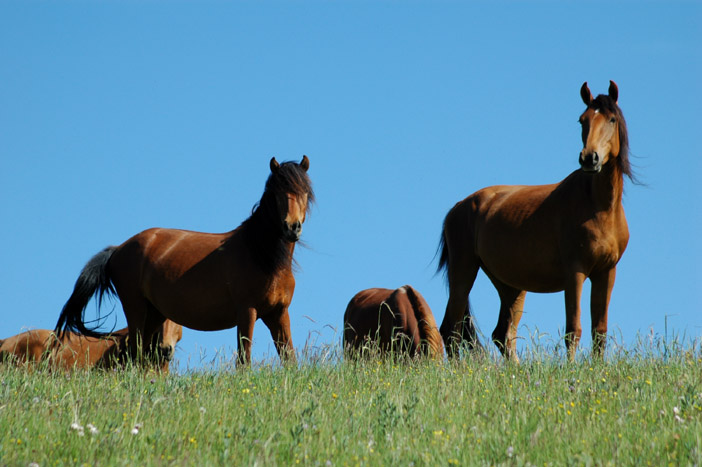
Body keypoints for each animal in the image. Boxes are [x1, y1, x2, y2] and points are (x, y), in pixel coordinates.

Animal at [56, 156, 314, 366]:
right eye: (278, 194)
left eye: (305, 192)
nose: (292, 227)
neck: (262, 256)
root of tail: (119, 249)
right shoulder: (247, 312)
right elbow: (244, 360)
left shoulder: (278, 314)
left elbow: (289, 359)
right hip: (136, 310)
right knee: (133, 354)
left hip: (154, 314)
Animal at [440, 82, 632, 362]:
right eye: (582, 120)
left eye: (611, 119)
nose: (589, 158)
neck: (599, 208)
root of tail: (458, 207)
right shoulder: (575, 272)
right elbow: (573, 329)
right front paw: (571, 367)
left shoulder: (606, 272)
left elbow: (600, 330)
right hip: (463, 271)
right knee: (450, 329)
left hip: (511, 286)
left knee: (501, 334)